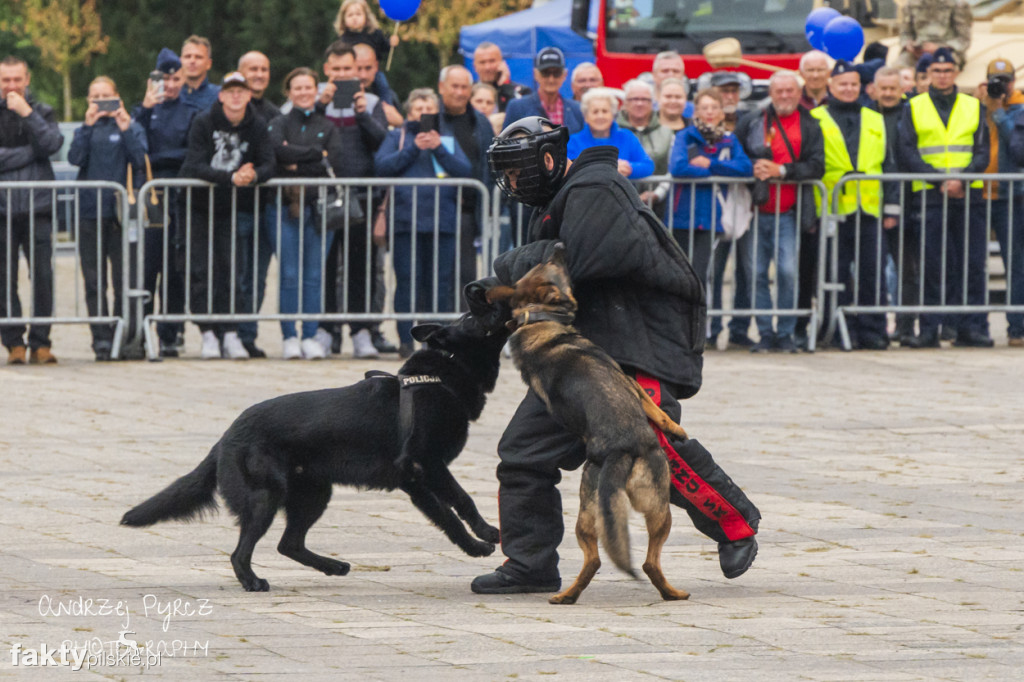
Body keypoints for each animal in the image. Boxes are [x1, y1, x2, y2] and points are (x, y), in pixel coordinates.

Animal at [121, 319, 505, 589]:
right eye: (475, 317)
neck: (440, 376)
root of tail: (226, 437)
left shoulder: (417, 482)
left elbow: (446, 517)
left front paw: (472, 547)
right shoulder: (426, 466)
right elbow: (462, 500)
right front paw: (486, 534)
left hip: (315, 494)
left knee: (288, 544)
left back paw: (332, 566)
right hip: (267, 497)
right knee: (241, 553)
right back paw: (253, 582)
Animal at [485, 242, 688, 602]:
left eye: (542, 263)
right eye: (554, 265)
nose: (559, 244)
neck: (536, 318)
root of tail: (619, 451)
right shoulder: (629, 382)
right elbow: (656, 409)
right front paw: (674, 428)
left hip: (590, 516)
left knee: (597, 559)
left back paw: (566, 596)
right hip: (660, 507)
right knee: (648, 561)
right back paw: (674, 594)